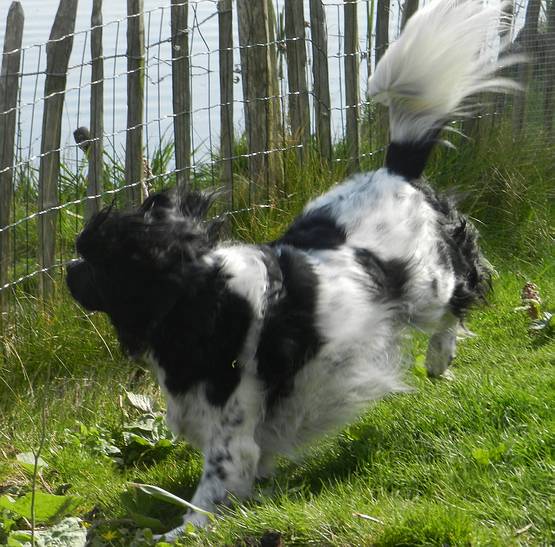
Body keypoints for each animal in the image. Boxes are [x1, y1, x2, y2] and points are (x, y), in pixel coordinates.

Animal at [66, 0, 518, 540]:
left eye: (96, 261)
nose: (68, 268)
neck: (202, 298)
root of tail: (397, 170)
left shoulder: (231, 436)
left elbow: (209, 495)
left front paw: (178, 533)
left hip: (430, 284)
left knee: (461, 293)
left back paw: (439, 357)